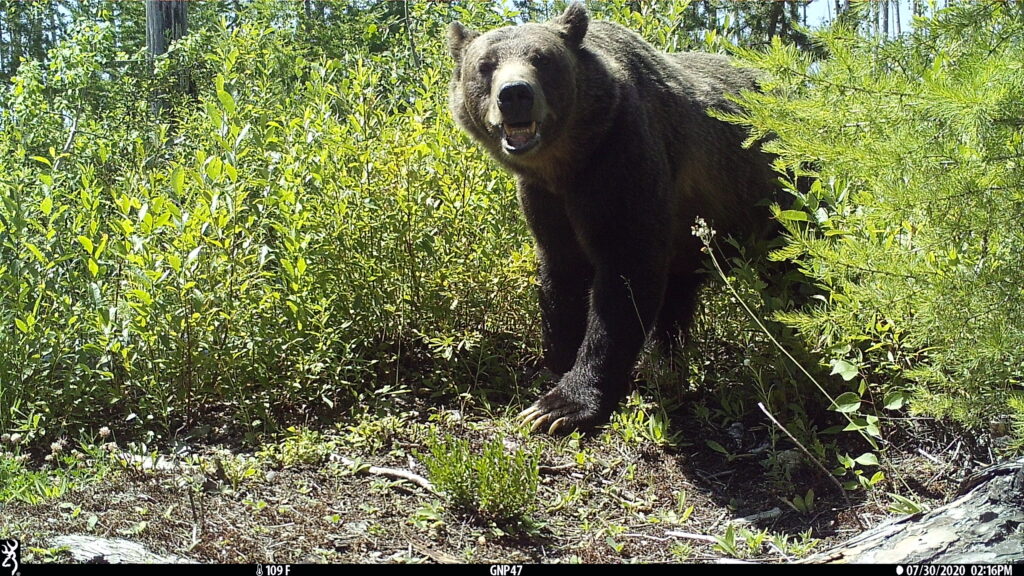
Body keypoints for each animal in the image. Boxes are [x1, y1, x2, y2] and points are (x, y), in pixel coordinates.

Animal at [447, 3, 780, 434]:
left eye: (543, 59)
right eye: (485, 65)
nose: (515, 94)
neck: (569, 162)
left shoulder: (623, 161)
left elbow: (623, 281)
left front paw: (562, 406)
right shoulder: (545, 198)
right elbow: (562, 276)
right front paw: (555, 363)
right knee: (679, 295)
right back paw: (666, 370)